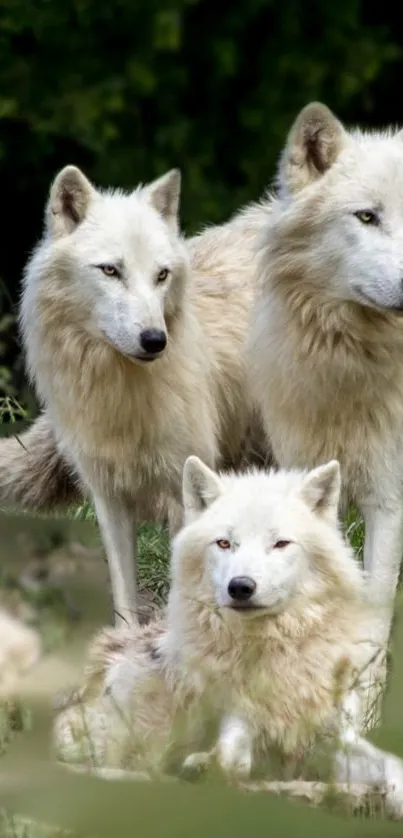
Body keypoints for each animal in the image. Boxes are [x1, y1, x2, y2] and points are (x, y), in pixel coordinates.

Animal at [14, 166, 260, 624]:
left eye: (161, 275)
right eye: (111, 270)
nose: (155, 340)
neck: (121, 390)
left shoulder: (182, 492)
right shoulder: (108, 495)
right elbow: (124, 594)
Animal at [55, 460, 403, 820]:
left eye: (280, 543)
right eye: (224, 543)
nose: (240, 586)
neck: (277, 651)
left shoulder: (337, 738)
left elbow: (391, 765)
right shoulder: (236, 719)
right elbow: (232, 758)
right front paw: (205, 769)